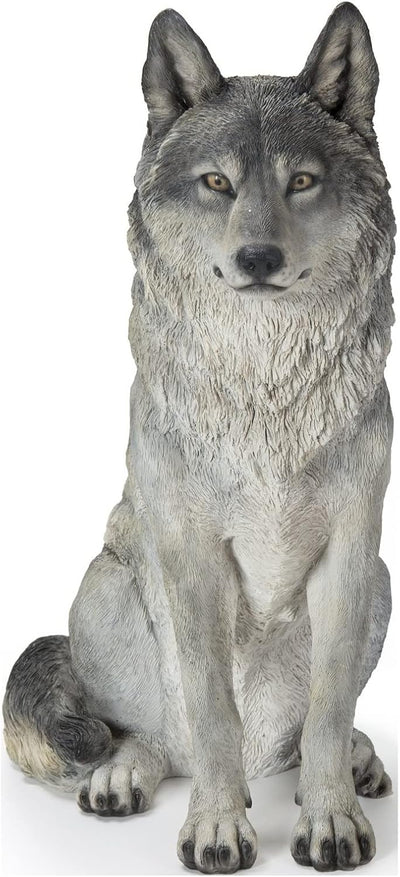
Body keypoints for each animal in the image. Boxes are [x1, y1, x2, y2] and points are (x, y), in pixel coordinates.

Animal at [3, 2, 395, 873]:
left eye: (301, 181)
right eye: (218, 182)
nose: (258, 256)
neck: (265, 384)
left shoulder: (352, 552)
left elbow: (325, 714)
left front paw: (330, 818)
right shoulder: (195, 558)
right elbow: (213, 713)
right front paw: (218, 826)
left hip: (383, 585)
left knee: (301, 737)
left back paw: (349, 761)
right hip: (102, 584)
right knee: (158, 738)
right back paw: (126, 775)